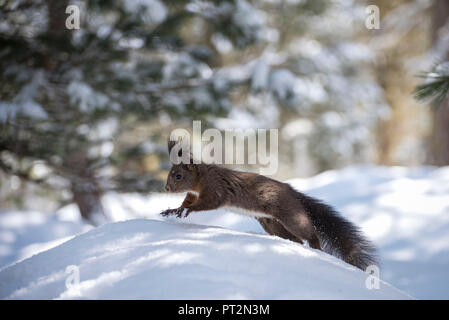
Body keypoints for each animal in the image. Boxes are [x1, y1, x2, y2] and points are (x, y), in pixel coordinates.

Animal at [159, 139, 376, 270]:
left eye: (178, 176)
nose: (166, 188)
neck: (201, 178)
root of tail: (292, 192)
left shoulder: (215, 188)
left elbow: (208, 202)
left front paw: (187, 210)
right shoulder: (193, 193)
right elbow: (186, 201)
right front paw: (174, 209)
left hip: (290, 215)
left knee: (308, 233)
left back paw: (315, 248)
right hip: (271, 223)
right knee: (295, 240)